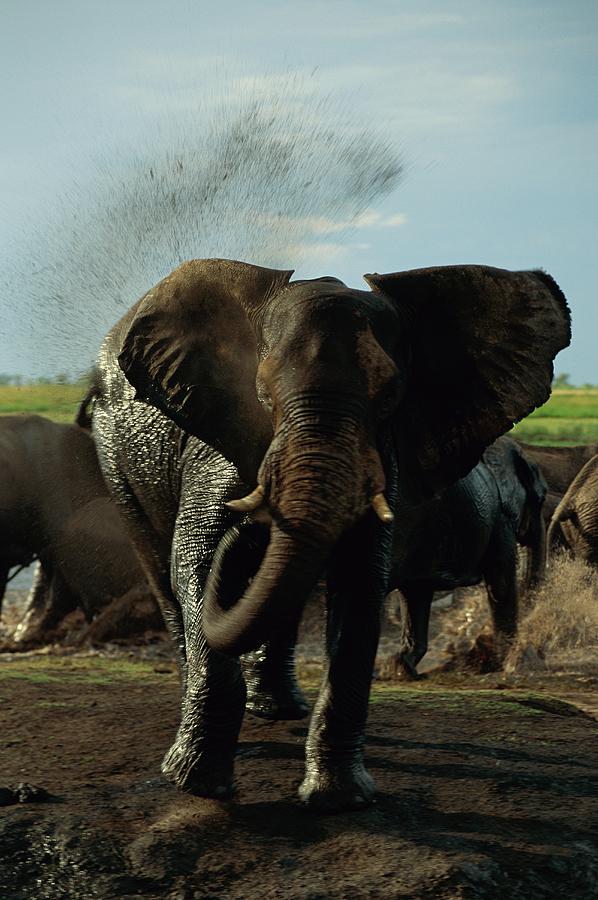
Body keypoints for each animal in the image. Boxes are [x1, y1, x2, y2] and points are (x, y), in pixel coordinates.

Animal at [392, 434, 552, 676]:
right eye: (540, 499)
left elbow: (417, 592)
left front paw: (401, 668)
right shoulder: (499, 515)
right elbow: (501, 583)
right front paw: (506, 664)